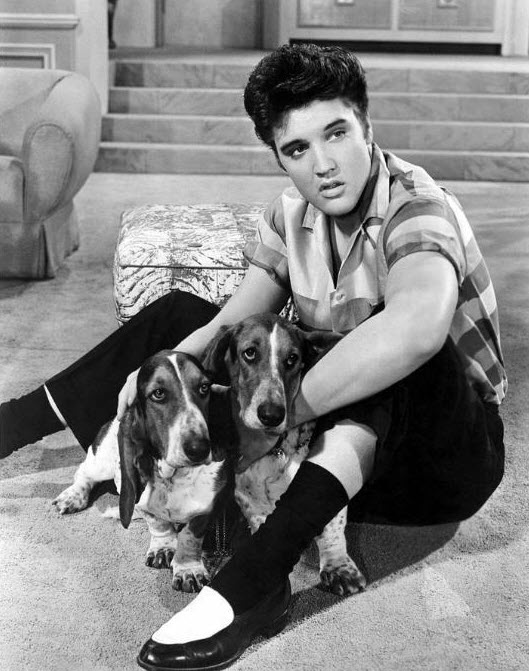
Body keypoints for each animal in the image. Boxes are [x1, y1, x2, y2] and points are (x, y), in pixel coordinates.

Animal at [53, 350, 231, 592]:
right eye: (158, 393)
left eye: (204, 387)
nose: (200, 449)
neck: (174, 476)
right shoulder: (143, 500)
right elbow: (158, 523)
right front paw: (163, 547)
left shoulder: (207, 506)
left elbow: (190, 535)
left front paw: (188, 569)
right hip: (101, 462)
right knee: (83, 473)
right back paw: (72, 497)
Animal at [202, 313, 367, 596]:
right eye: (249, 353)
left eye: (292, 359)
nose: (271, 415)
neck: (276, 450)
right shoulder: (248, 495)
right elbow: (262, 524)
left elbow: (331, 526)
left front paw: (338, 567)